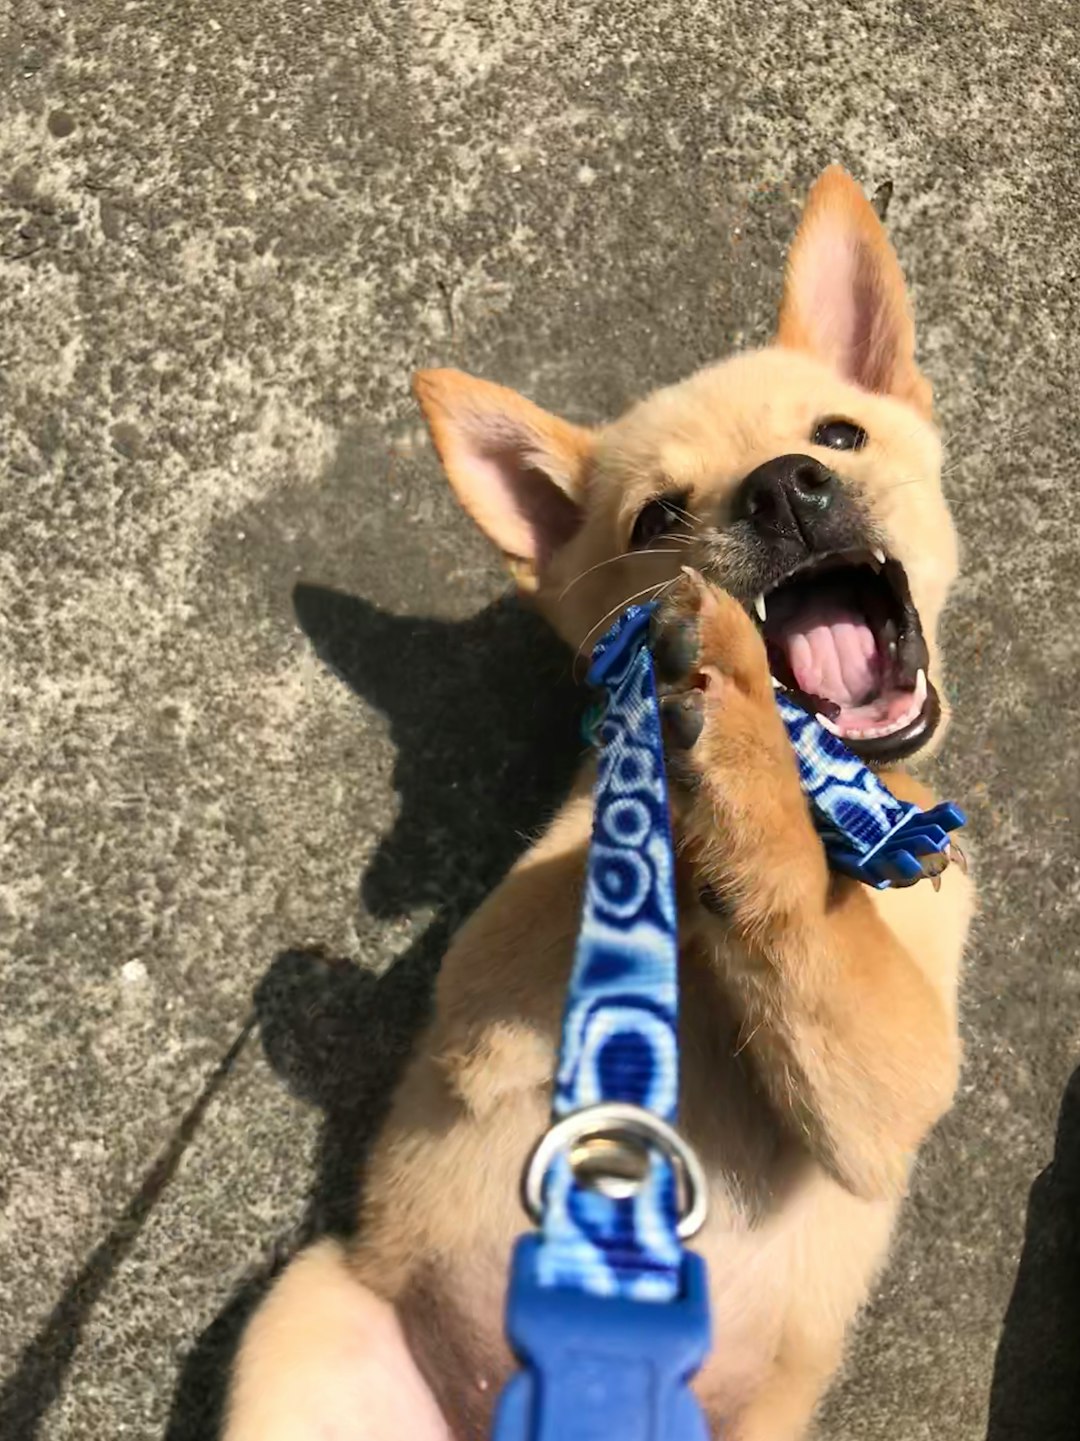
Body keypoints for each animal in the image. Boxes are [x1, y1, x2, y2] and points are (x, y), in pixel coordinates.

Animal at [223, 171, 974, 1441]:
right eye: (656, 519)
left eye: (838, 435)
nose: (785, 487)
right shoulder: (483, 993)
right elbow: (586, 869)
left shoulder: (898, 1097)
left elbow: (818, 934)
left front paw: (742, 786)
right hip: (313, 1327)